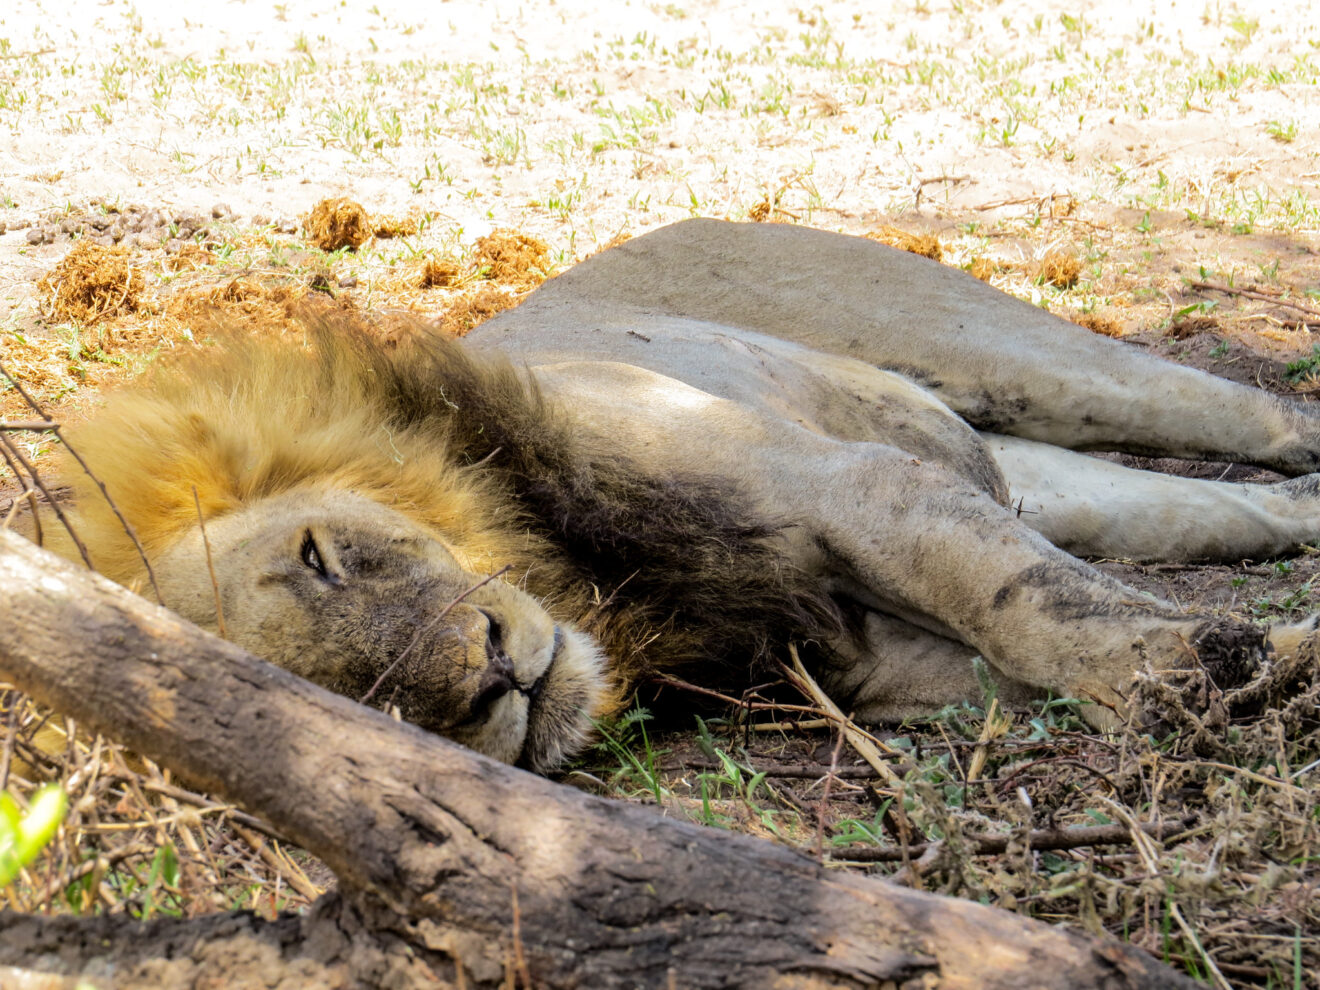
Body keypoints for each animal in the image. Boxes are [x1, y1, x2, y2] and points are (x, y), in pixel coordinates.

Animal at [50, 219, 1320, 773]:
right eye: (345, 704)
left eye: (320, 557)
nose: (494, 683)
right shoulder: (861, 661)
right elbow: (1035, 655)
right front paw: (1264, 662)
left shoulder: (844, 488)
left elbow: (1030, 607)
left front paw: (1210, 673)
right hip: (1038, 473)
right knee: (1217, 510)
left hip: (1019, 354)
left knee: (1255, 417)